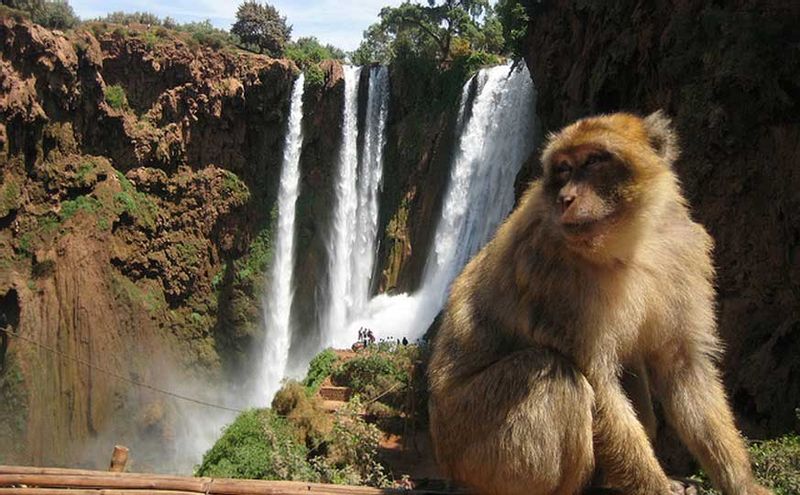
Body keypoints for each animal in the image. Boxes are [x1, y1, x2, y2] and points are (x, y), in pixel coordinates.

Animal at [428, 111, 772, 495]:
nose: (565, 197)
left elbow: (683, 366)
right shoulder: (552, 275)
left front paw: (743, 483)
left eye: (593, 161)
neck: (627, 244)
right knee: (553, 373)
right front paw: (654, 487)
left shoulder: (682, 252)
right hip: (473, 444)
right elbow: (599, 380)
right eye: (564, 168)